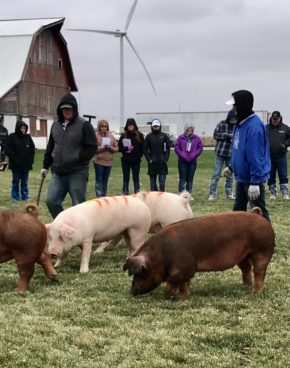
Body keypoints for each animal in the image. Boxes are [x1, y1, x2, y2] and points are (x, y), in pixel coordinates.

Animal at [123, 208, 276, 298]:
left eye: (140, 273)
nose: (131, 291)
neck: (160, 256)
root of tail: (258, 215)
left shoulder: (185, 267)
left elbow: (173, 282)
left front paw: (168, 297)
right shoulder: (186, 270)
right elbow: (185, 283)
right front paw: (184, 297)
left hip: (262, 250)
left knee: (259, 272)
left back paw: (255, 293)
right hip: (243, 255)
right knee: (246, 268)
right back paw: (245, 285)